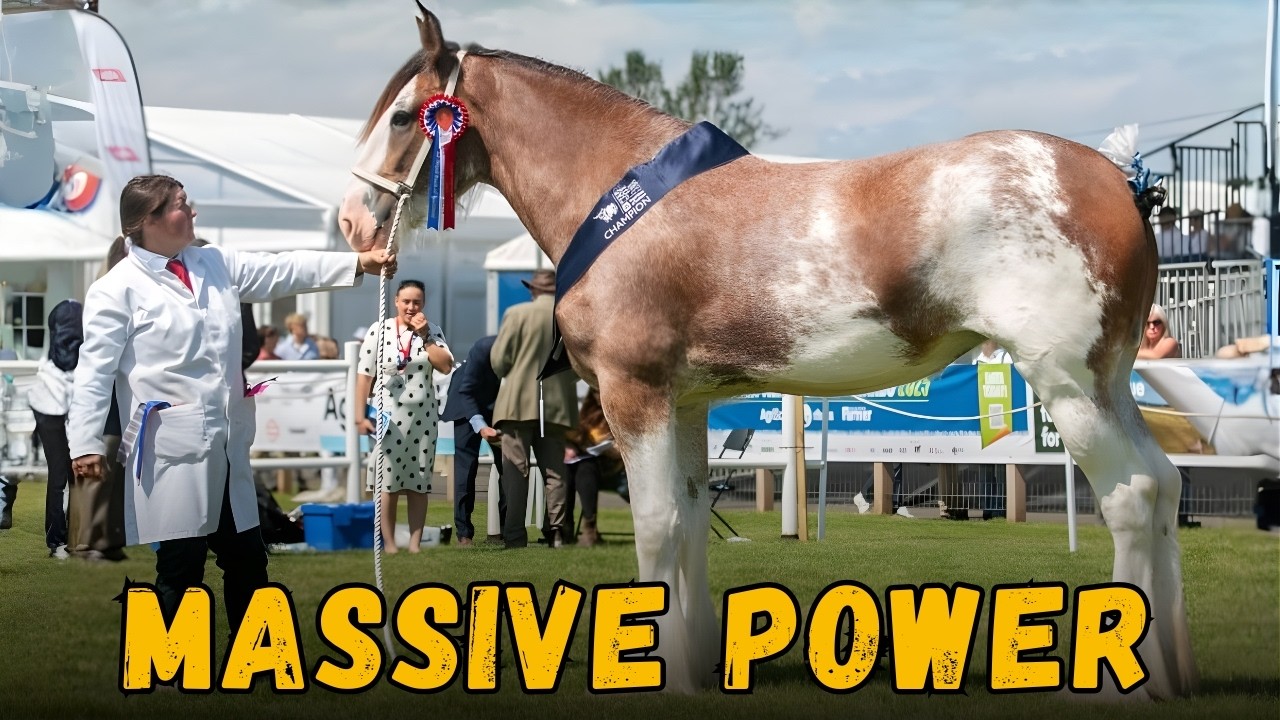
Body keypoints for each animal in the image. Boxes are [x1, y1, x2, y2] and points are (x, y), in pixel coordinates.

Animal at [339, 4, 1197, 698]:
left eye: (406, 117)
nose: (352, 221)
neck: (617, 196)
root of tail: (1117, 179)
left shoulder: (633, 393)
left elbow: (654, 523)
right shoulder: (683, 403)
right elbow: (689, 519)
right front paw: (690, 668)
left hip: (1069, 386)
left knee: (1130, 496)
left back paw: (1114, 686)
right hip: (1112, 384)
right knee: (1163, 484)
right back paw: (1170, 673)